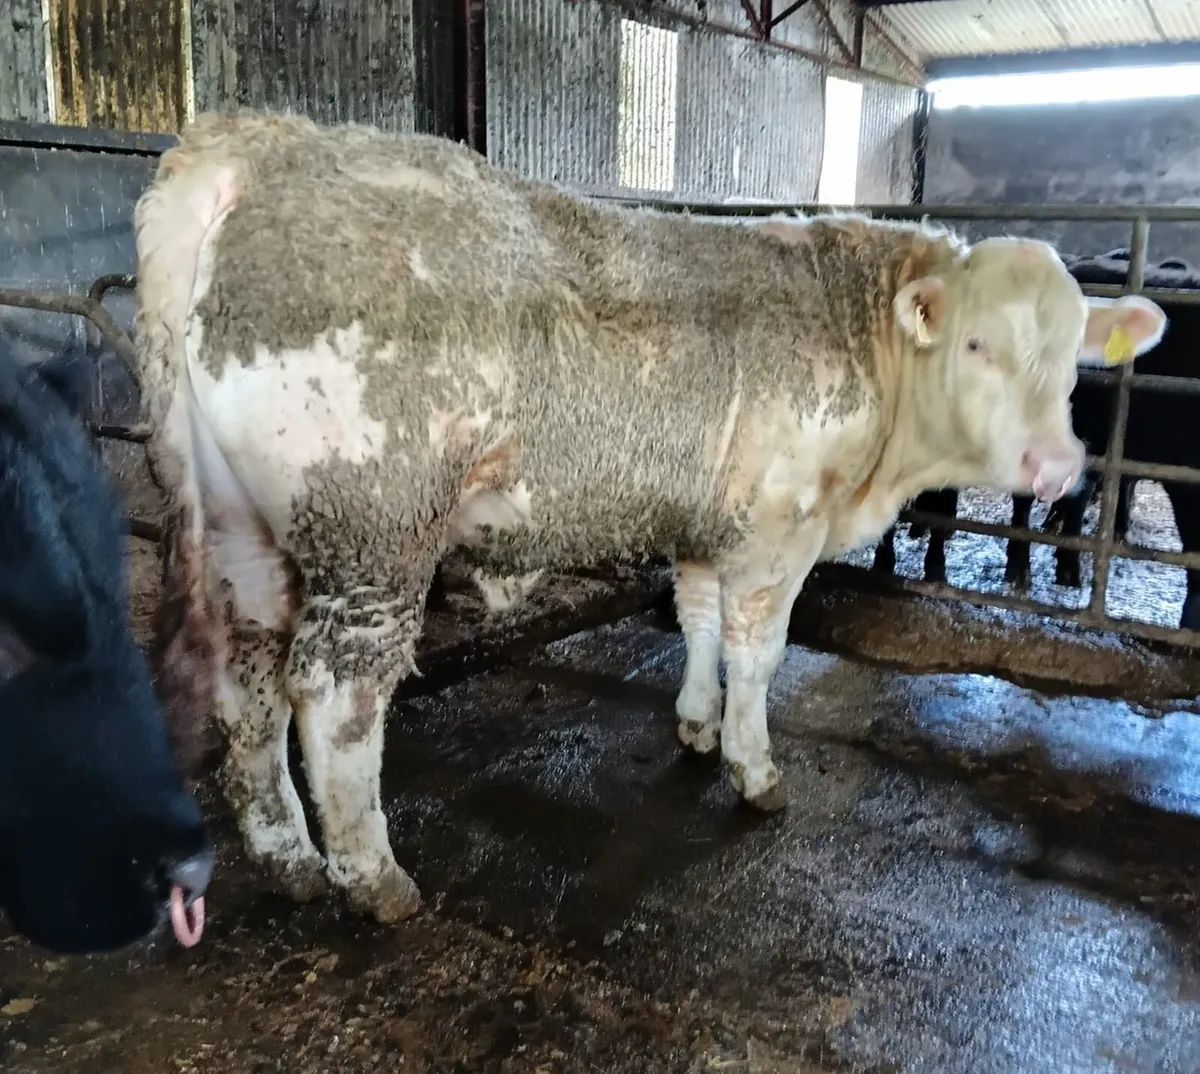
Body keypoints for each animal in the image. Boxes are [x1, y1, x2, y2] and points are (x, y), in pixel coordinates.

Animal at [132, 111, 1166, 925]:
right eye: (979, 344)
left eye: (1075, 356)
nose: (1056, 465)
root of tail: (263, 143)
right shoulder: (778, 530)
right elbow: (759, 653)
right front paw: (753, 768)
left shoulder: (708, 522)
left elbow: (698, 621)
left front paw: (697, 726)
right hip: (374, 525)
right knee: (334, 691)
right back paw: (371, 875)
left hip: (244, 523)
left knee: (249, 674)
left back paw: (286, 857)